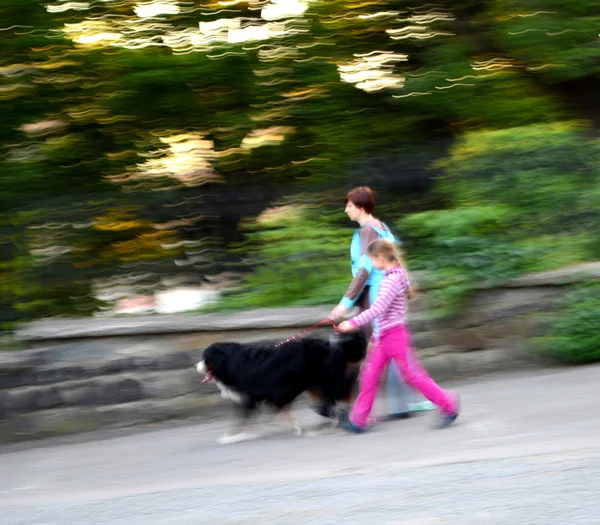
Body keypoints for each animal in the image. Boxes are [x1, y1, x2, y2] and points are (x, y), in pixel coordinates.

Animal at [196, 332, 366, 442]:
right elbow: (278, 411)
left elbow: (242, 420)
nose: (196, 366)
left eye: (205, 358)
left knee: (340, 396)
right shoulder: (266, 396)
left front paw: (233, 437)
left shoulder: (252, 398)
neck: (230, 362)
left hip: (326, 381)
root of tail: (332, 346)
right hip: (314, 384)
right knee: (328, 403)